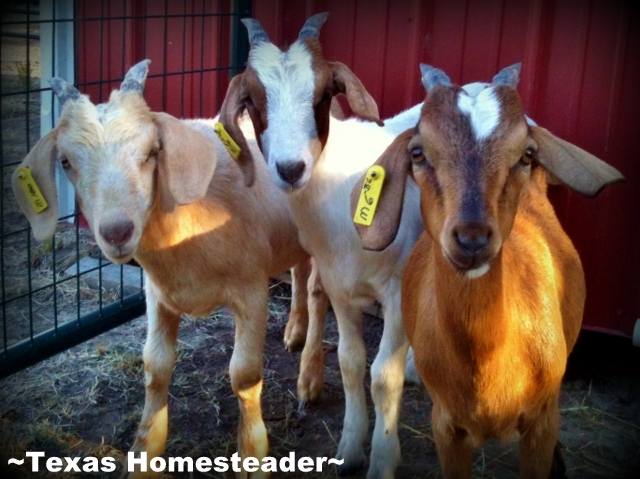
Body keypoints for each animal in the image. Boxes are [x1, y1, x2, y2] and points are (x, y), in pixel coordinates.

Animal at [11, 60, 324, 479]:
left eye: (152, 152)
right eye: (66, 162)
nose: (117, 231)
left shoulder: (251, 290)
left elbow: (244, 375)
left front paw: (254, 457)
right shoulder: (158, 295)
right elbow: (155, 366)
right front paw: (146, 454)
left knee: (318, 292)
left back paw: (309, 378)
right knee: (299, 272)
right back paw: (294, 331)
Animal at [219, 13, 424, 478]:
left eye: (324, 93)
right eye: (252, 99)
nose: (291, 168)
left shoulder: (397, 289)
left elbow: (383, 376)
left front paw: (382, 460)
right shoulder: (340, 285)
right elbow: (350, 362)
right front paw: (349, 449)